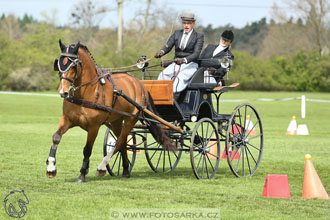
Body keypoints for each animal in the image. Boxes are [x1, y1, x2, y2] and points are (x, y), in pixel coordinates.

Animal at [47, 40, 175, 182]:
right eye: (59, 65)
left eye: (74, 67)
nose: (63, 91)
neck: (86, 93)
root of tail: (139, 84)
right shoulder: (67, 119)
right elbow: (56, 137)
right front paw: (51, 168)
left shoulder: (94, 127)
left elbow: (87, 150)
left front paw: (82, 174)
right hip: (115, 122)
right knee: (123, 142)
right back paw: (125, 171)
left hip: (130, 119)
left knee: (119, 142)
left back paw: (102, 167)